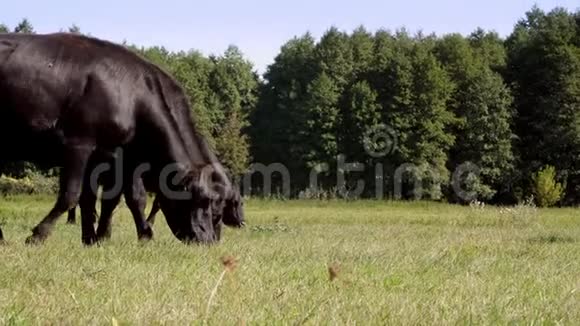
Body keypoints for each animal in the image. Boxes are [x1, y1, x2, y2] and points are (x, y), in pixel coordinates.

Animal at [0, 32, 240, 244]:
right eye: (200, 200)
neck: (133, 98)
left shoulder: (117, 157)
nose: (209, 239)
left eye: (217, 206)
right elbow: (72, 194)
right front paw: (39, 235)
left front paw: (102, 238)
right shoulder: (79, 144)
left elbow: (122, 198)